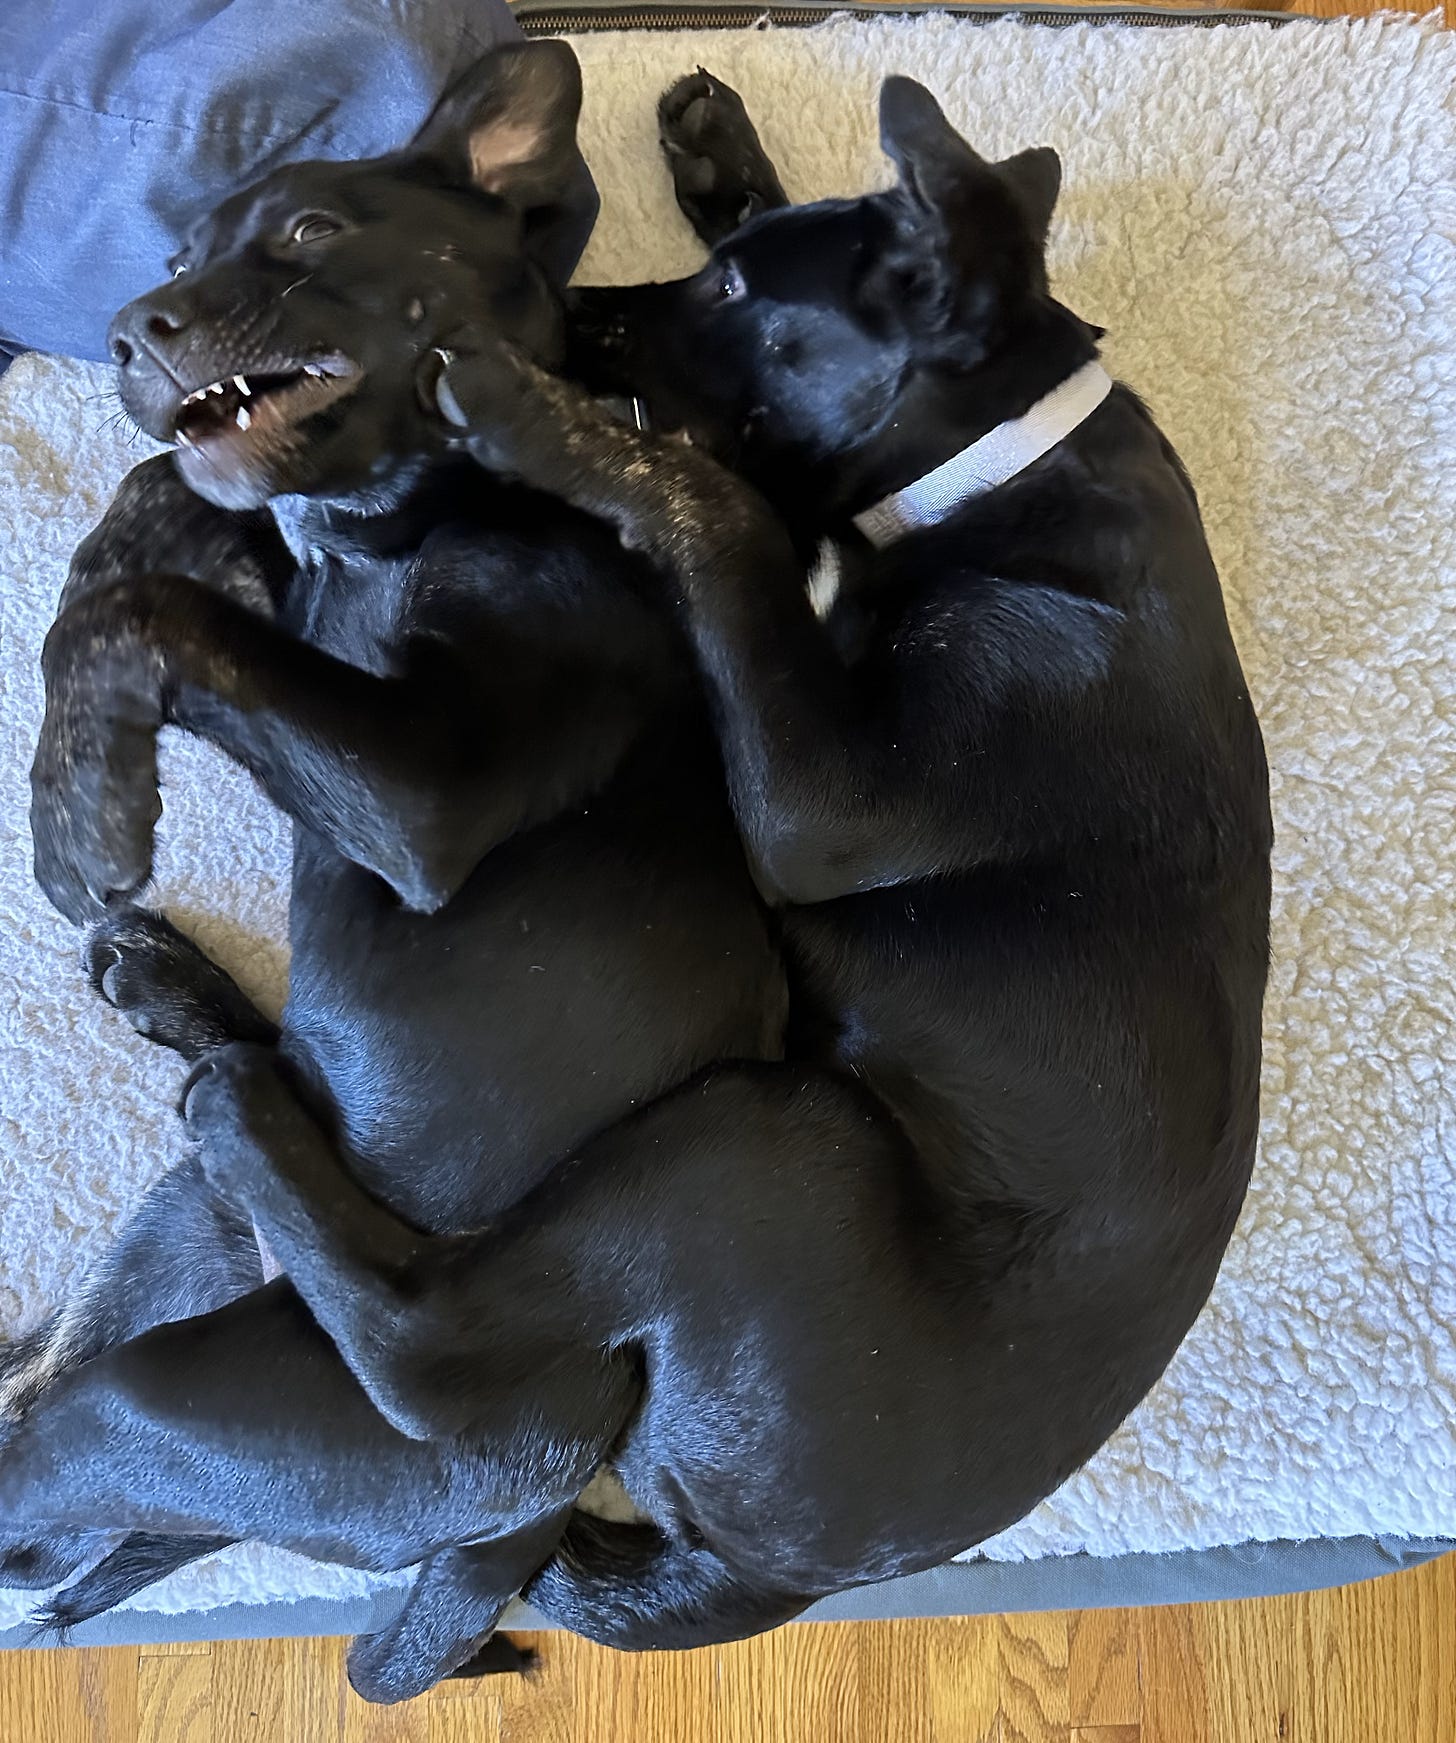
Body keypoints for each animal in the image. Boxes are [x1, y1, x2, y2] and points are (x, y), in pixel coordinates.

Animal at [5, 64, 1269, 1687]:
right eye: (175, 257)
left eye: (309, 231)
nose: (128, 333)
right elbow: (151, 534)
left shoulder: (485, 785)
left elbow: (178, 603)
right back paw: (180, 1000)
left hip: (755, 1145)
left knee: (407, 1340)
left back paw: (238, 1107)